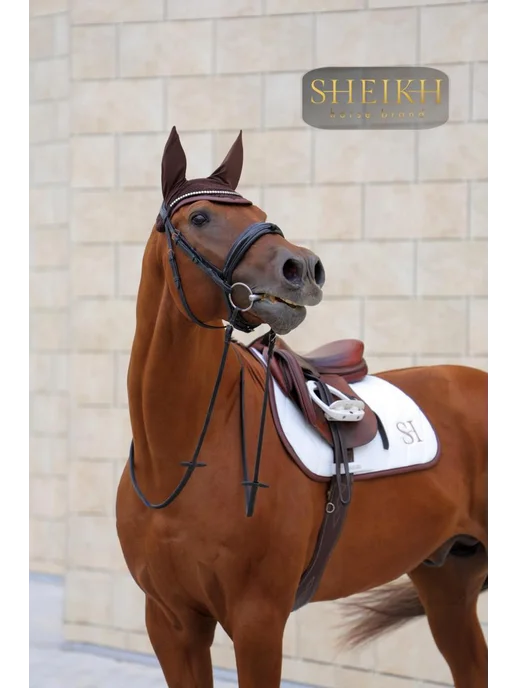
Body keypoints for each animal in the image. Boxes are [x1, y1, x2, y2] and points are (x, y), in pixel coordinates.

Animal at [116, 126, 488, 688]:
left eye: (260, 211)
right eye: (199, 218)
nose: (305, 268)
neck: (179, 459)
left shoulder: (258, 622)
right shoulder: (171, 623)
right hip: (447, 577)